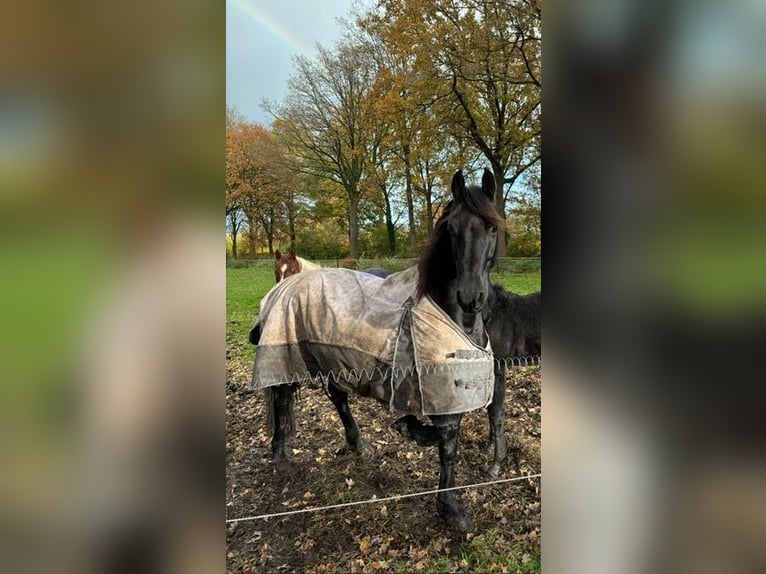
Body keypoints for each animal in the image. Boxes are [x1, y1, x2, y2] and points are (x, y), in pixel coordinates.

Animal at [254, 169, 504, 532]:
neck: (451, 315)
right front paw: (451, 508)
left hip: (332, 357)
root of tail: (286, 287)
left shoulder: (450, 388)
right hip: (289, 357)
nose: (471, 297)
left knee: (337, 398)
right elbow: (447, 441)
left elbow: (448, 437)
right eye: (452, 228)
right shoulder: (437, 388)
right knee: (283, 398)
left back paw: (359, 444)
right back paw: (280, 458)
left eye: (492, 227)